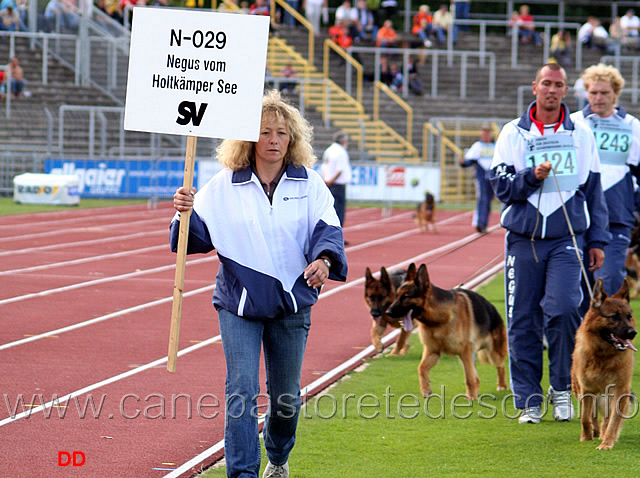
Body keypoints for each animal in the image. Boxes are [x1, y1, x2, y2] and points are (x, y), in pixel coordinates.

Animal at [384, 264, 504, 398]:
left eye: (406, 296)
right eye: (396, 296)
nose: (387, 312)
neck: (438, 319)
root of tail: (492, 307)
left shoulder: (464, 351)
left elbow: (469, 377)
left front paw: (472, 398)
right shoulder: (432, 351)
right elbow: (421, 368)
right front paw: (426, 389)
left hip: (492, 352)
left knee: (500, 366)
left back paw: (501, 386)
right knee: (476, 377)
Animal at [568, 278, 636, 450]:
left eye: (629, 316)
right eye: (614, 316)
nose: (633, 333)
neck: (602, 356)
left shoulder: (619, 391)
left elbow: (612, 421)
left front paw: (607, 443)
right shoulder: (587, 390)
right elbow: (585, 418)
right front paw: (586, 437)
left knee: (606, 418)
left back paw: (603, 435)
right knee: (592, 416)